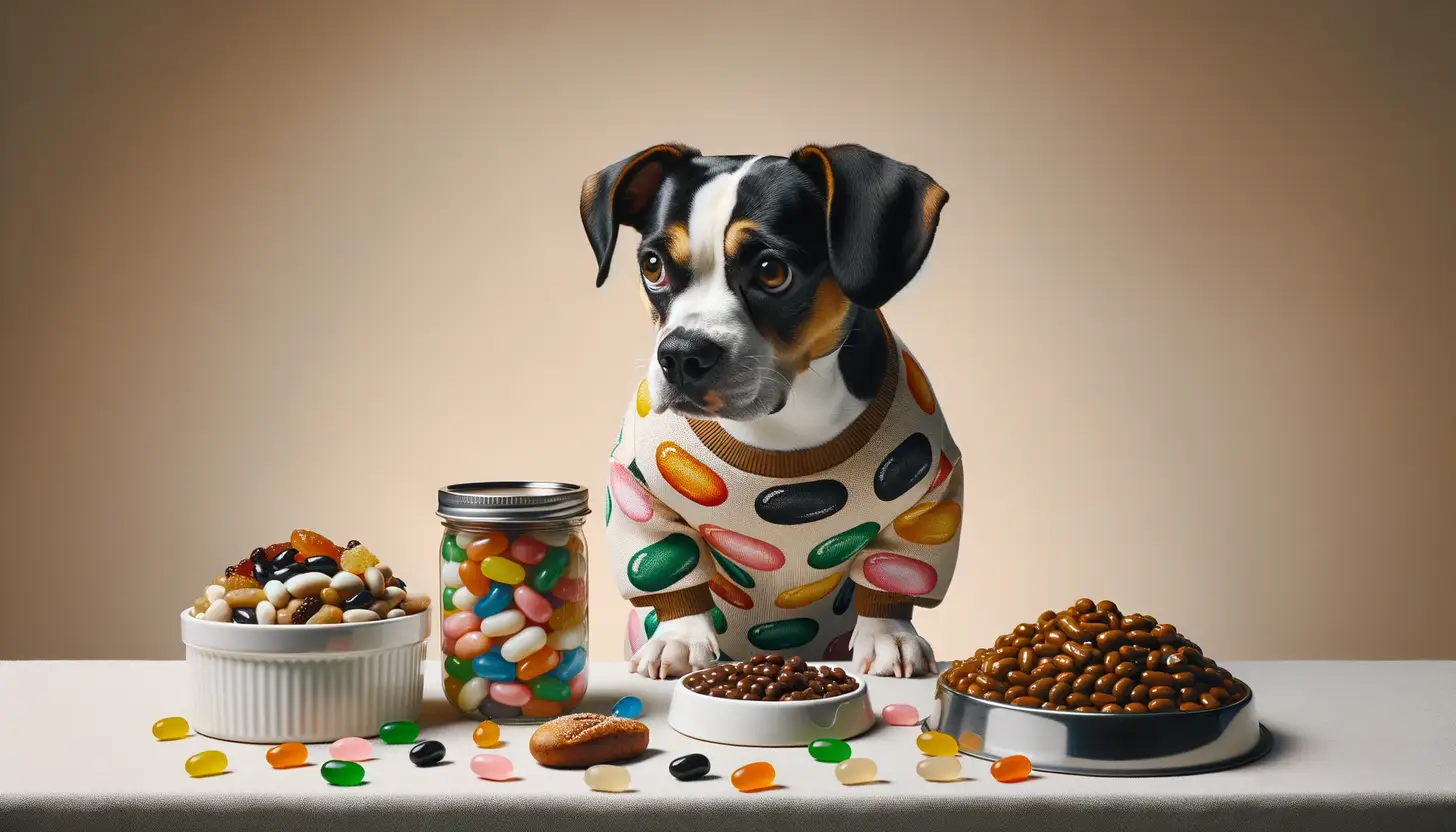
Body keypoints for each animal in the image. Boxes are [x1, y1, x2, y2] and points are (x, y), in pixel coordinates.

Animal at [579, 143, 966, 676]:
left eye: (771, 271)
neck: (783, 424)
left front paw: (890, 636)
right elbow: (672, 566)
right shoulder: (636, 491)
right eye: (653, 265)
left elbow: (896, 570)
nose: (681, 354)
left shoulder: (934, 496)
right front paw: (678, 638)